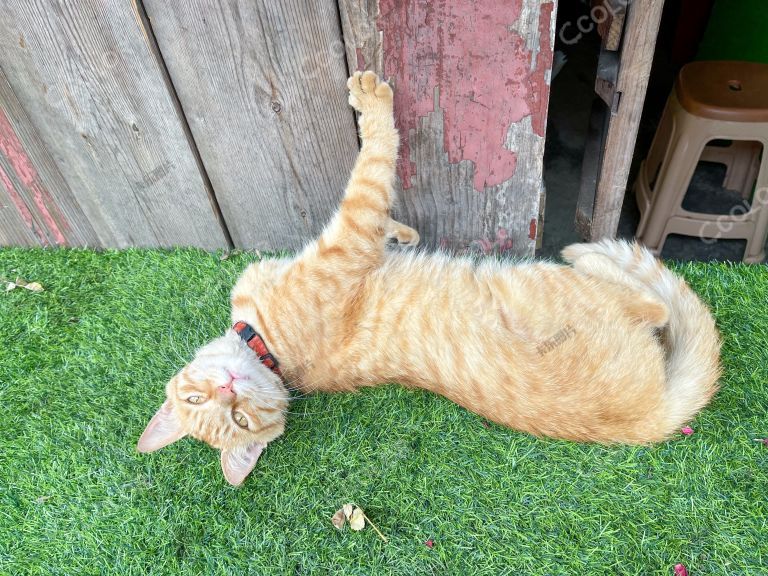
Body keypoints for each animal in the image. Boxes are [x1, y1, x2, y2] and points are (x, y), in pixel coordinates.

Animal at [136, 72, 720, 486]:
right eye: (233, 421)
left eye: (206, 406)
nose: (228, 390)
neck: (264, 348)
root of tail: (652, 418)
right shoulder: (352, 230)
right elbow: (374, 161)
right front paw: (372, 103)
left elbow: (382, 204)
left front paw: (403, 231)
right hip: (547, 285)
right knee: (655, 304)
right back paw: (589, 254)